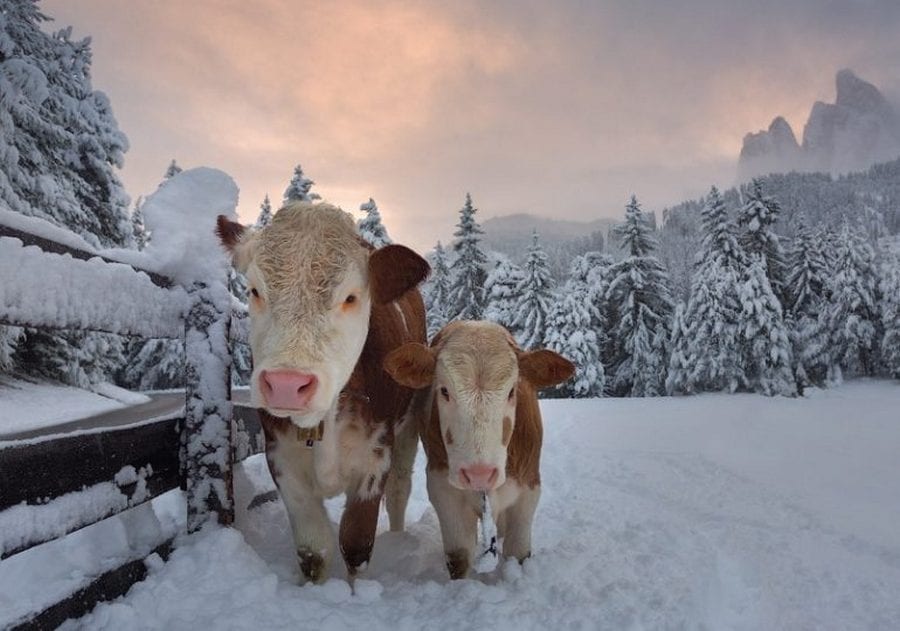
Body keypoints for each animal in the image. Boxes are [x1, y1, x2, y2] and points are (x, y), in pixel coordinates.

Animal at [217, 201, 428, 584]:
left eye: (351, 297)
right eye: (254, 290)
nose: (286, 384)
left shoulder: (376, 456)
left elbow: (356, 544)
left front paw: (356, 591)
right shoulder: (281, 457)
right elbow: (314, 549)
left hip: (409, 427)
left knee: (400, 490)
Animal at [384, 320, 572, 576]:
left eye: (512, 391)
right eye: (444, 390)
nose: (479, 474)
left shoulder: (528, 490)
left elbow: (518, 553)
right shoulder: (443, 490)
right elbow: (459, 556)